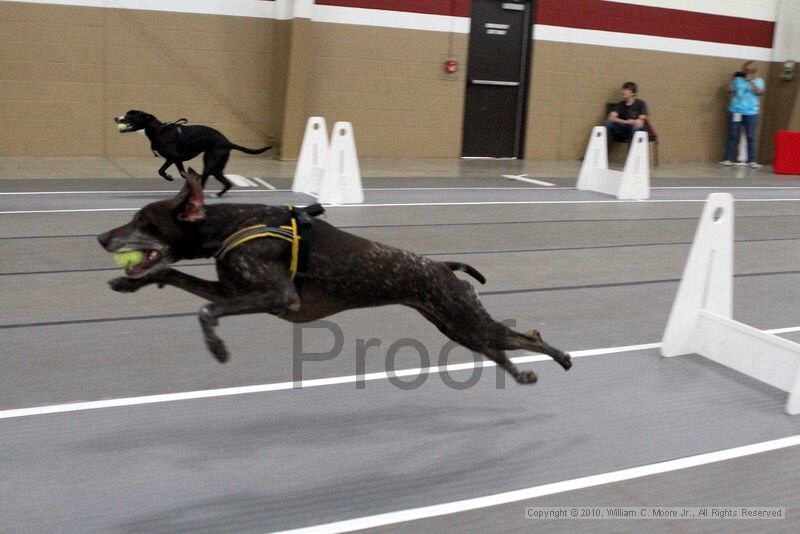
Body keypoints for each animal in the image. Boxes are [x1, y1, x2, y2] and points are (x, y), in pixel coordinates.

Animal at [97, 172, 572, 386]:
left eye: (144, 221)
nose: (102, 237)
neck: (235, 223)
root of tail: (442, 266)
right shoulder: (233, 288)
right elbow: (173, 274)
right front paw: (131, 283)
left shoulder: (277, 296)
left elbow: (205, 310)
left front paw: (217, 348)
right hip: (457, 326)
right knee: (499, 350)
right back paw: (523, 376)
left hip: (466, 319)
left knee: (525, 336)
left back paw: (562, 357)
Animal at [113, 110, 272, 198]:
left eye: (131, 115)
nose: (116, 118)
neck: (158, 130)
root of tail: (227, 142)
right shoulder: (178, 160)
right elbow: (183, 174)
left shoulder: (173, 157)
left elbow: (161, 170)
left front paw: (169, 177)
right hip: (216, 166)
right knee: (227, 183)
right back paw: (215, 194)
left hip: (210, 163)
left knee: (206, 179)